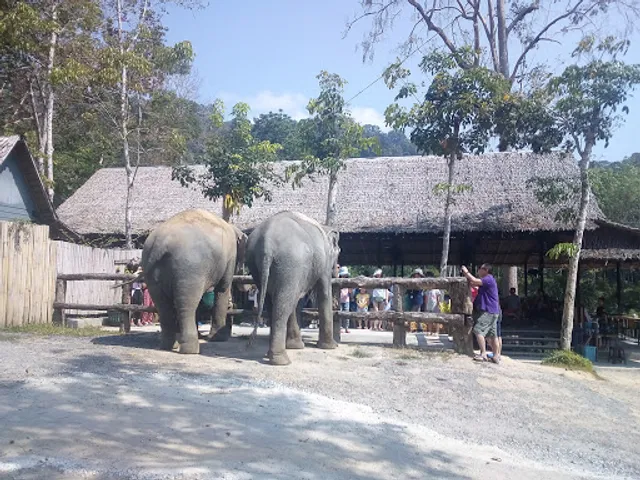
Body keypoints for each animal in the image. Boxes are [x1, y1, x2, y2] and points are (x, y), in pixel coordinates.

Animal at [141, 209, 247, 354]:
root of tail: (159, 245)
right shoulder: (231, 257)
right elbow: (223, 288)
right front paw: (218, 339)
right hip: (189, 269)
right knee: (187, 304)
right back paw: (190, 350)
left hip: (151, 273)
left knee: (163, 305)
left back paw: (168, 346)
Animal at [246, 211, 341, 365]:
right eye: (339, 251)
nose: (337, 269)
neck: (324, 226)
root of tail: (267, 243)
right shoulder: (324, 262)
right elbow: (324, 291)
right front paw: (331, 347)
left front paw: (295, 346)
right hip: (291, 262)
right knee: (284, 304)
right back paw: (281, 360)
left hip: (258, 265)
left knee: (275, 302)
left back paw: (273, 354)